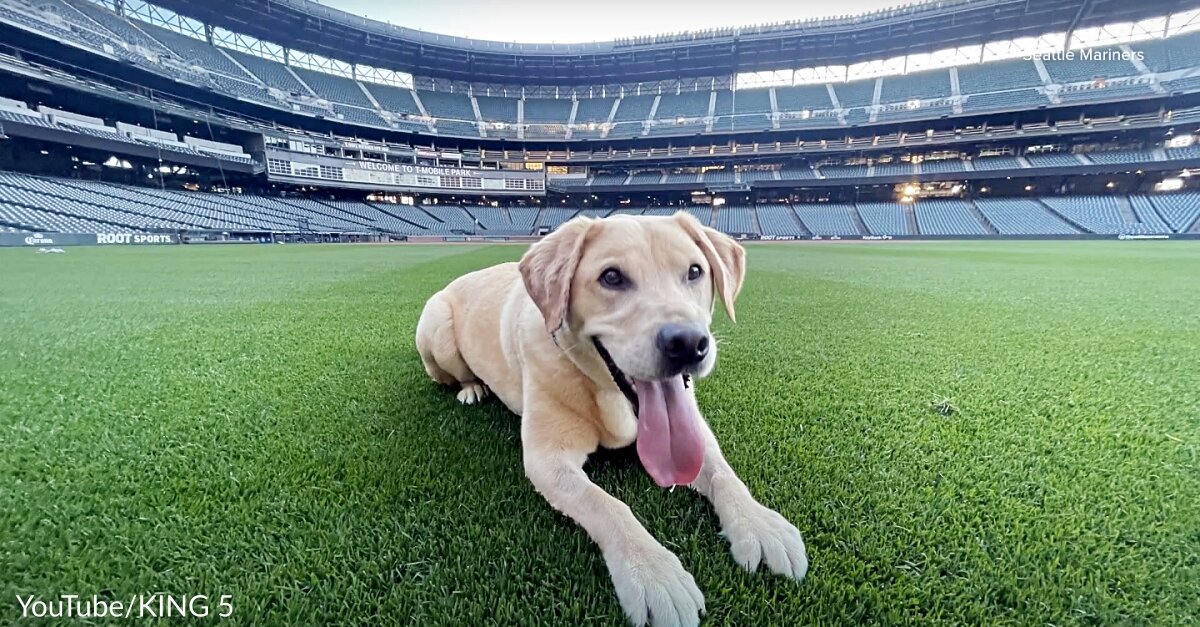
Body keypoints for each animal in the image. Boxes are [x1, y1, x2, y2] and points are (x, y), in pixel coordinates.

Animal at [415, 212, 806, 619]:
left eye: (695, 271)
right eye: (612, 277)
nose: (687, 343)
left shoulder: (695, 429)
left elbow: (722, 472)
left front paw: (759, 524)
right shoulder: (547, 459)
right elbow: (607, 505)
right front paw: (653, 573)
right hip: (436, 328)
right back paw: (472, 387)